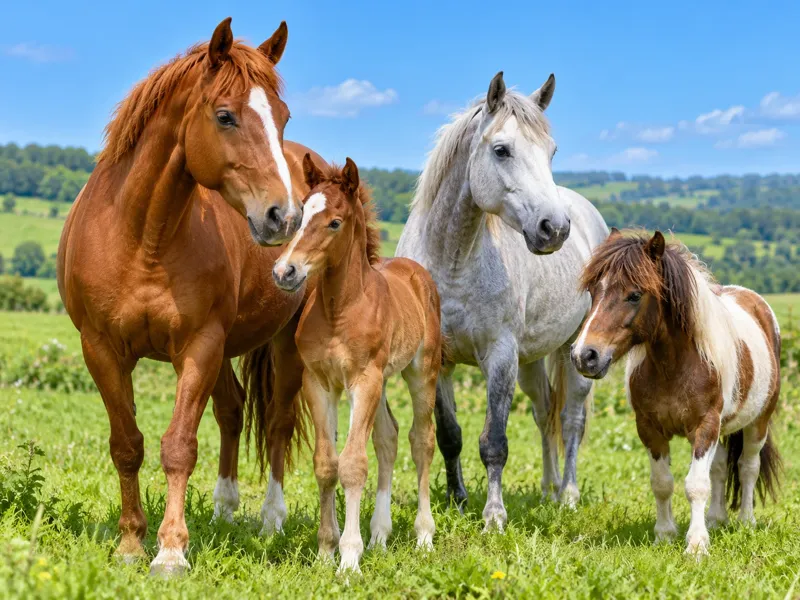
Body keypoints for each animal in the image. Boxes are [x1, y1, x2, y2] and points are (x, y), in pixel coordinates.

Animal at [57, 18, 324, 575]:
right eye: (225, 116)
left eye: (283, 116)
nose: (285, 217)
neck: (143, 236)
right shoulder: (102, 349)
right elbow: (127, 445)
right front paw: (131, 544)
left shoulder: (198, 346)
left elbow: (178, 446)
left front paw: (171, 550)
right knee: (232, 410)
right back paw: (224, 510)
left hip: (285, 343)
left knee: (278, 423)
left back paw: (271, 520)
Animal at [272, 157, 442, 573]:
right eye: (300, 215)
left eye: (335, 222)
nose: (285, 271)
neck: (340, 310)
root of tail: (416, 271)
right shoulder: (320, 384)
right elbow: (326, 464)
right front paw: (325, 550)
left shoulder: (363, 382)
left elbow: (352, 465)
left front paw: (349, 558)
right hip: (381, 383)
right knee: (388, 437)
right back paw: (380, 534)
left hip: (420, 372)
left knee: (421, 441)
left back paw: (423, 536)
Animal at [396, 71, 609, 530]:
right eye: (501, 150)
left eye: (551, 151)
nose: (554, 228)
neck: (453, 262)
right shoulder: (439, 358)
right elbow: (450, 435)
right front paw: (457, 500)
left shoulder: (500, 356)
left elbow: (494, 440)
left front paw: (493, 515)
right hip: (531, 362)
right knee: (544, 413)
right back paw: (548, 491)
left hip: (576, 351)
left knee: (571, 420)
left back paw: (567, 495)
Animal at [571, 230, 782, 555]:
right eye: (594, 291)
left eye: (635, 294)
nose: (584, 355)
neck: (676, 366)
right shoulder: (650, 429)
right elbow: (662, 483)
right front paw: (665, 534)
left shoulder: (705, 426)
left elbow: (696, 485)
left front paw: (696, 544)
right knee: (720, 469)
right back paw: (716, 520)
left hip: (758, 422)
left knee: (748, 467)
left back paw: (746, 521)